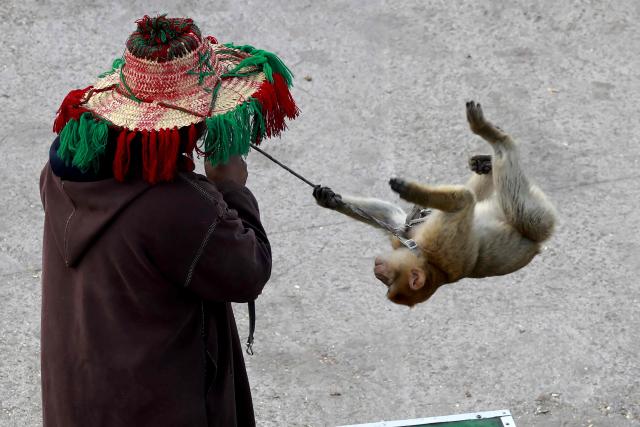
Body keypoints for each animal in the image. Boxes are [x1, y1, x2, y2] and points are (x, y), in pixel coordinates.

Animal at [313, 101, 557, 307]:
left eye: (386, 281)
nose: (376, 267)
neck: (431, 263)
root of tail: (536, 247)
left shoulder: (440, 243)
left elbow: (464, 200)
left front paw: (410, 191)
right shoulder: (407, 239)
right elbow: (397, 222)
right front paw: (328, 198)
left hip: (539, 219)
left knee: (515, 204)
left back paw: (494, 136)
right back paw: (486, 161)